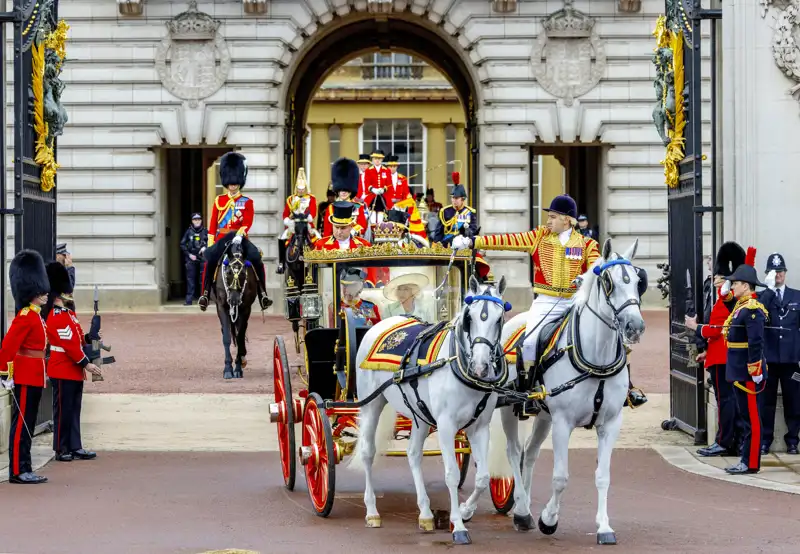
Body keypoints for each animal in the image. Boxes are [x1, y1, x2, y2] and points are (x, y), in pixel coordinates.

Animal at [214, 239, 258, 378]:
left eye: (243, 273)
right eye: (228, 272)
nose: (234, 300)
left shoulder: (245, 309)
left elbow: (239, 337)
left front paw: (238, 367)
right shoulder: (221, 307)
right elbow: (227, 337)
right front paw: (228, 368)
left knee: (241, 333)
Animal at [350, 274, 512, 540]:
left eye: (499, 319)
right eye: (469, 318)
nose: (480, 367)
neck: (458, 365)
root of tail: (382, 323)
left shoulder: (479, 427)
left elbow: (483, 476)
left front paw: (466, 511)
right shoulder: (446, 426)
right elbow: (451, 475)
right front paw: (458, 525)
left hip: (420, 414)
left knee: (413, 454)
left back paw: (425, 514)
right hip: (371, 404)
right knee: (367, 452)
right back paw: (372, 511)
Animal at [490, 237, 648, 544]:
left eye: (638, 280)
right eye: (608, 281)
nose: (635, 327)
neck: (596, 359)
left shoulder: (610, 423)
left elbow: (603, 476)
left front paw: (604, 527)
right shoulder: (563, 422)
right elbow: (561, 477)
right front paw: (549, 520)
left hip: (543, 416)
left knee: (530, 452)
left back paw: (524, 510)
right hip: (509, 410)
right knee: (514, 452)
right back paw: (523, 511)